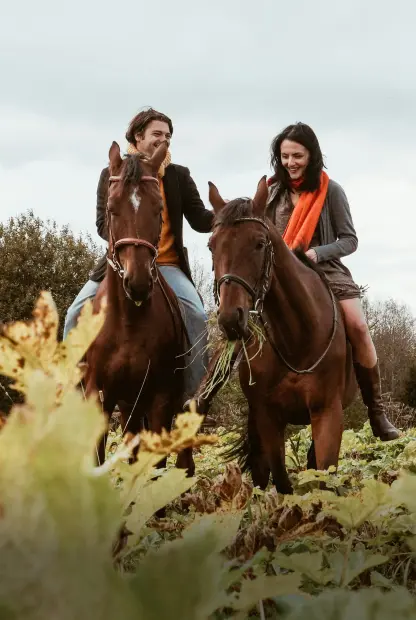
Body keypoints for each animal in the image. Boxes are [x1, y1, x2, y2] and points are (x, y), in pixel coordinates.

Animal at [85, 142, 195, 474]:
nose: (137, 282)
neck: (128, 321)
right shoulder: (99, 396)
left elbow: (155, 466)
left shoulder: (159, 400)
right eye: (111, 208)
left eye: (159, 209)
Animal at [206, 176, 356, 494]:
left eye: (260, 243)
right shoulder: (267, 417)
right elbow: (281, 480)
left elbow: (324, 478)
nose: (230, 318)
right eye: (212, 245)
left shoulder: (327, 413)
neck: (297, 339)